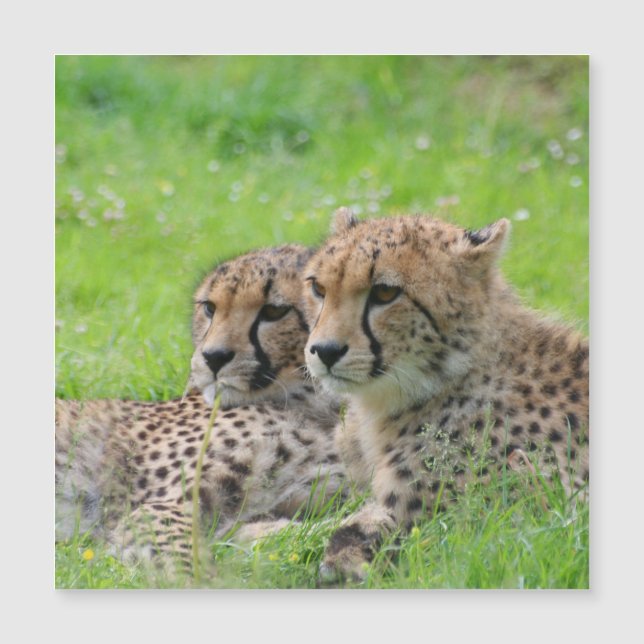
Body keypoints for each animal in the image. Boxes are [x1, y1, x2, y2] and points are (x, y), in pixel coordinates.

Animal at [56, 245, 345, 573]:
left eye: (275, 311)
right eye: (210, 307)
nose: (213, 357)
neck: (314, 404)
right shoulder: (161, 506)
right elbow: (185, 560)